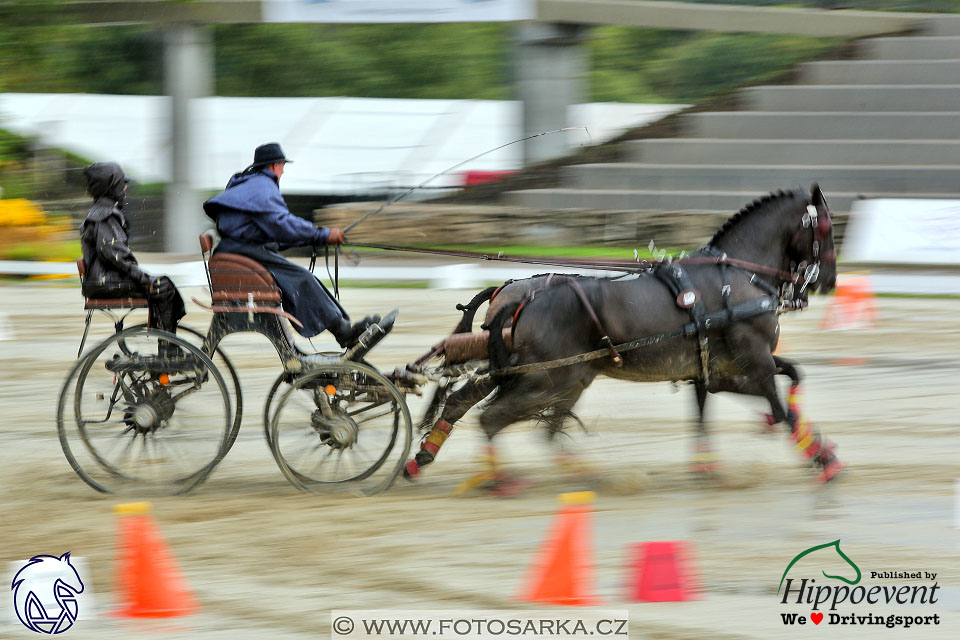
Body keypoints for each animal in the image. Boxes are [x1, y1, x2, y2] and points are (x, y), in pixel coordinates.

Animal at [404, 185, 840, 490]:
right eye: (826, 227)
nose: (830, 282)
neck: (735, 277)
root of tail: (514, 295)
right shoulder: (754, 361)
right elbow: (782, 409)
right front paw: (820, 458)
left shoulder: (719, 371)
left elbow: (784, 380)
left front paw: (709, 465)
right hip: (549, 377)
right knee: (495, 418)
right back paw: (505, 479)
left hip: (544, 376)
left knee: (470, 406)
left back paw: (423, 458)